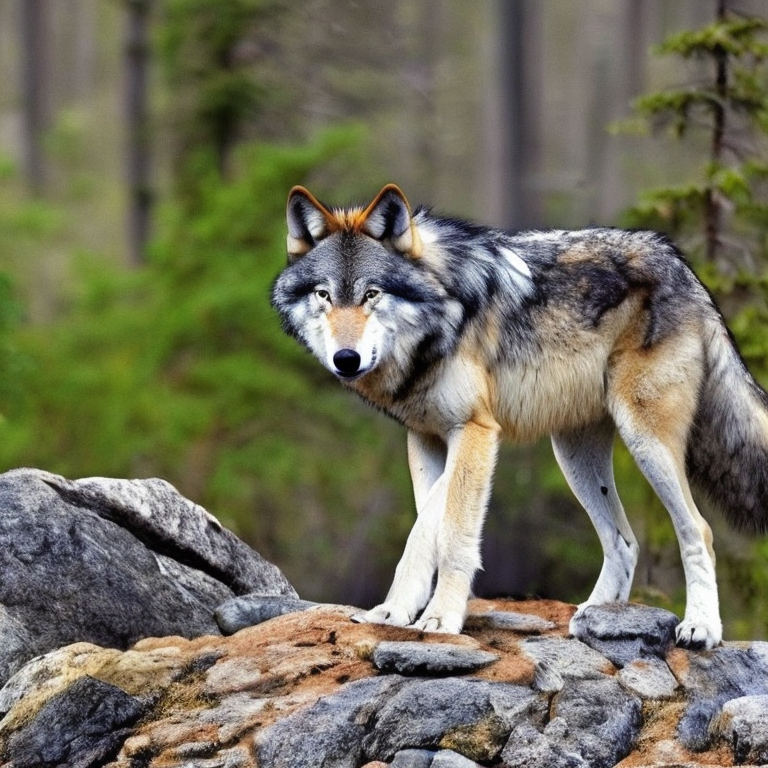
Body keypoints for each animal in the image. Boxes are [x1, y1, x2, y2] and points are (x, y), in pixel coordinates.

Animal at [271, 183, 768, 649]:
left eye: (371, 294)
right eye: (324, 295)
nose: (346, 359)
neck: (439, 320)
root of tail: (678, 261)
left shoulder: (475, 431)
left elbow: (448, 533)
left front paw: (440, 619)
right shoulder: (425, 439)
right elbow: (423, 526)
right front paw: (395, 612)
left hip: (646, 441)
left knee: (698, 530)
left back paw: (701, 627)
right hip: (574, 456)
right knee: (624, 542)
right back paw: (590, 618)